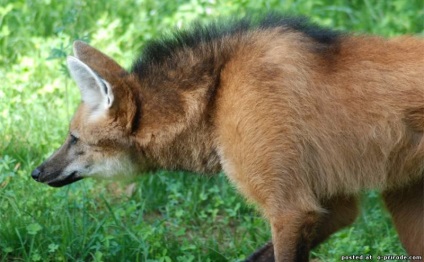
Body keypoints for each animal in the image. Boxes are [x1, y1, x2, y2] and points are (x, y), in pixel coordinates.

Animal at [32, 15, 424, 260]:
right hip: (404, 200)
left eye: (73, 139)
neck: (215, 100)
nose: (36, 172)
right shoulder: (332, 207)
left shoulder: (291, 211)